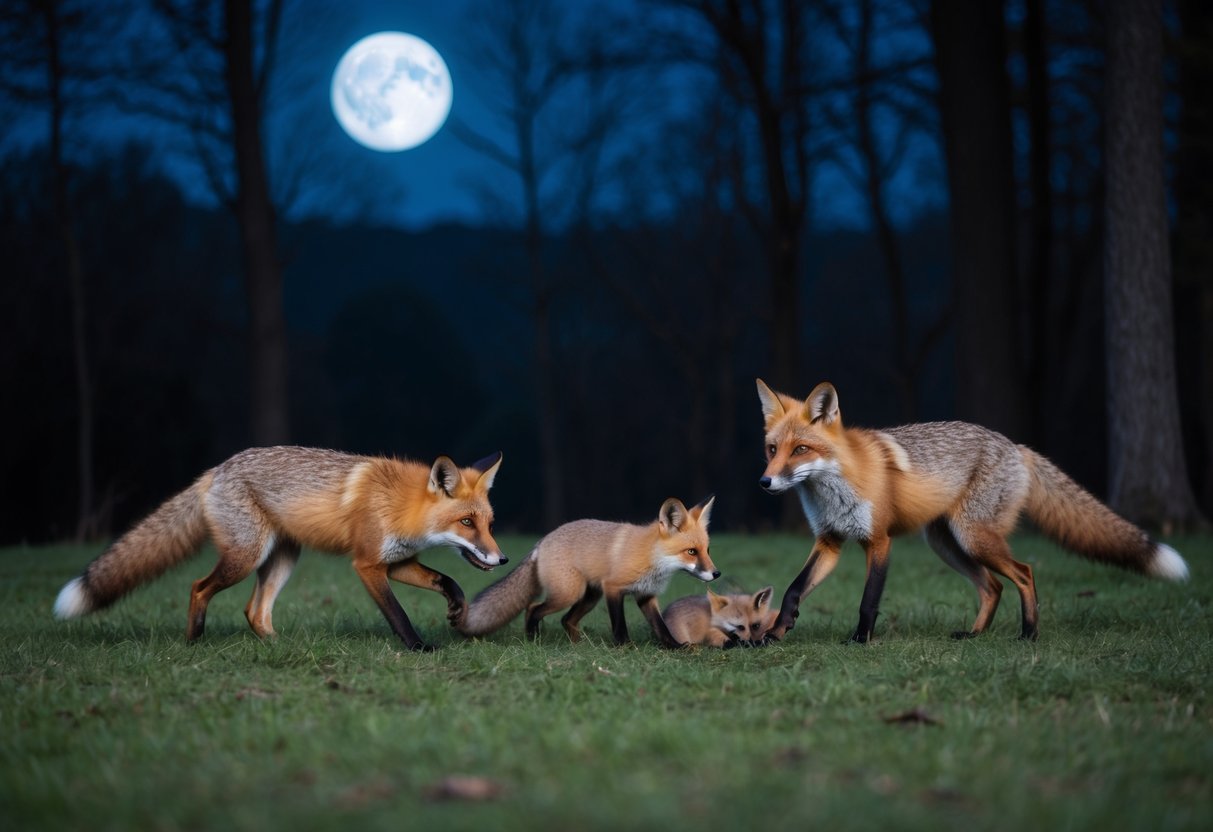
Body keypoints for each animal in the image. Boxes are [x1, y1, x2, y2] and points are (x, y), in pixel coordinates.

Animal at [53, 446, 507, 651]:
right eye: (466, 523)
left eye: (488, 524)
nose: (502, 558)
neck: (400, 504)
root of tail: (215, 469)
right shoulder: (367, 564)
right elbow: (397, 613)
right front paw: (418, 647)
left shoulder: (396, 560)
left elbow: (445, 579)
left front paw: (456, 607)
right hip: (245, 557)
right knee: (199, 587)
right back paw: (194, 640)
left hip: (282, 560)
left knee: (254, 611)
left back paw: (276, 645)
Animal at [457, 497, 720, 648]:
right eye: (691, 552)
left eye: (707, 550)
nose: (716, 574)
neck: (652, 557)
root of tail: (542, 541)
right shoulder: (613, 588)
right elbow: (619, 624)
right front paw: (625, 647)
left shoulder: (646, 595)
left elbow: (661, 627)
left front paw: (675, 646)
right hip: (569, 594)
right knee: (533, 608)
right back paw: (533, 639)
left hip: (589, 596)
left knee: (566, 619)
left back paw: (577, 646)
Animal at [755, 379, 1190, 643]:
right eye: (772, 450)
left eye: (801, 450)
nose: (765, 482)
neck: (835, 486)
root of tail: (1016, 446)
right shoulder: (829, 541)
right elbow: (794, 589)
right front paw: (774, 634)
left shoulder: (878, 540)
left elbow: (869, 599)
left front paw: (860, 640)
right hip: (949, 545)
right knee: (993, 587)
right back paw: (976, 635)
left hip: (975, 539)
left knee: (1024, 574)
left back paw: (1029, 634)